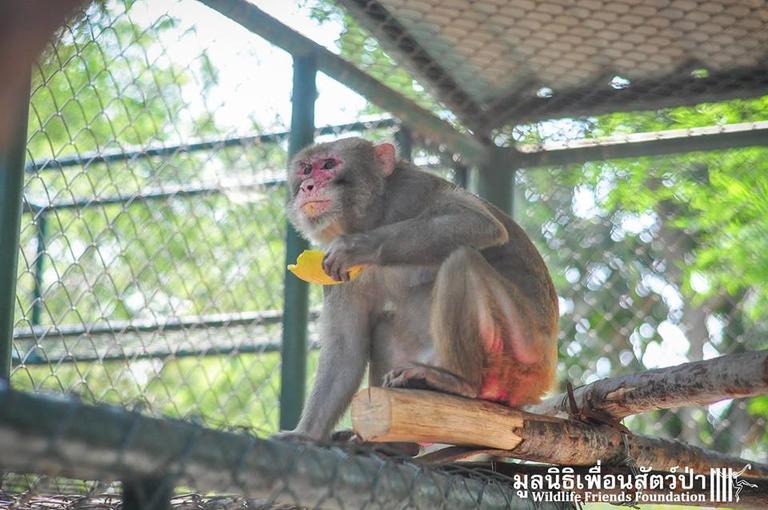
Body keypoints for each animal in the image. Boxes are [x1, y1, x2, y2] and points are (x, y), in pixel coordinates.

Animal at [282, 137, 560, 440]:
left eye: (329, 164)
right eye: (306, 169)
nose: (307, 186)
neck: (374, 216)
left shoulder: (413, 190)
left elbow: (477, 222)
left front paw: (357, 246)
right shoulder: (335, 280)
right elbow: (345, 352)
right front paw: (305, 434)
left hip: (524, 348)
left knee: (462, 262)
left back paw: (459, 383)